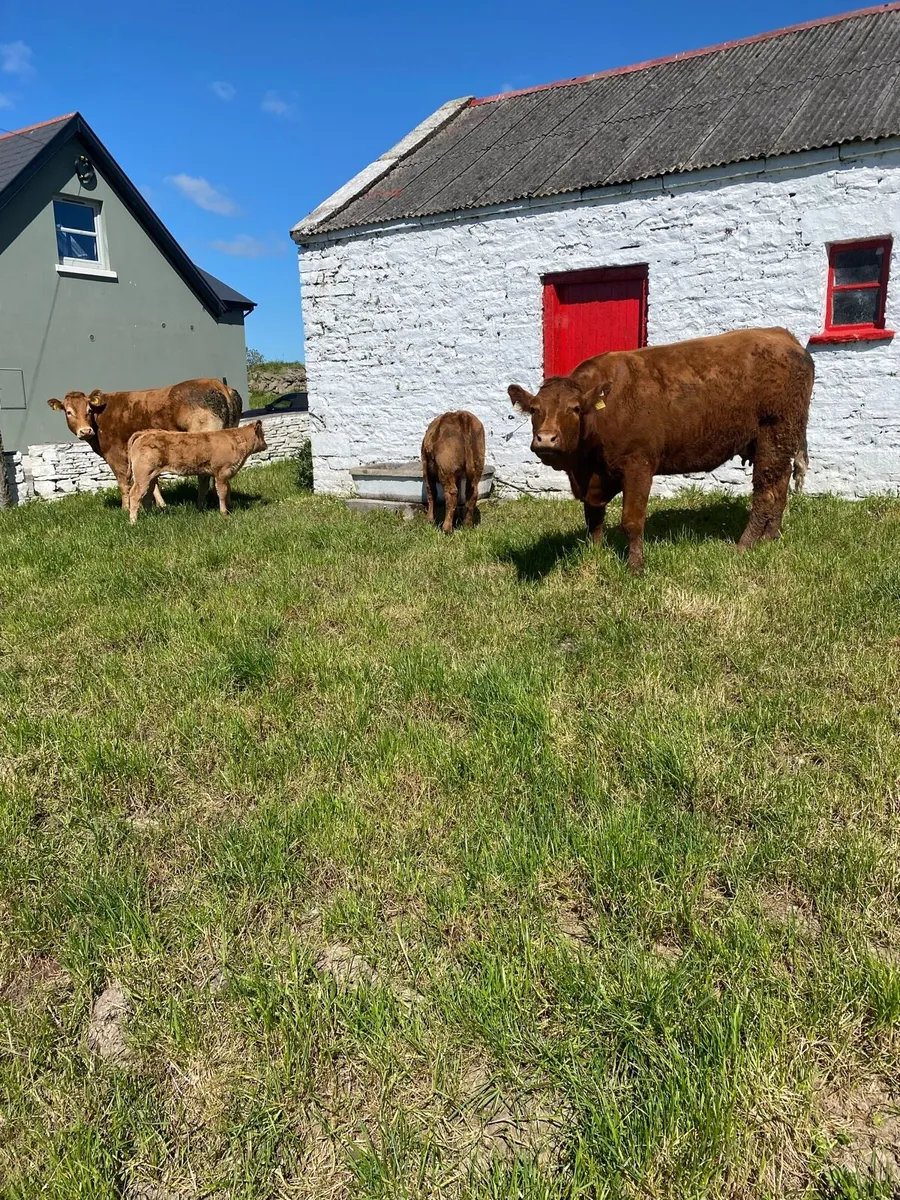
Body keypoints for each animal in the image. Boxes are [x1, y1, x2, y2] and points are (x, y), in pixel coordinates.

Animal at [47, 379, 242, 510]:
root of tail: (217, 383)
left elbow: (123, 483)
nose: (85, 431)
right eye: (69, 412)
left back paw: (200, 505)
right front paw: (159, 505)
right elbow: (152, 482)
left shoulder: (115, 455)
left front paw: (126, 508)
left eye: (88, 410)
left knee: (203, 476)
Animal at [126, 421, 267, 524]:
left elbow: (217, 491)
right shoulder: (221, 473)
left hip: (150, 477)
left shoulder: (214, 474)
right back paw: (133, 521)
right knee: (135, 495)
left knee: (147, 495)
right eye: (263, 434)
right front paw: (224, 514)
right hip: (142, 476)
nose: (266, 445)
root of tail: (144, 434)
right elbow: (222, 492)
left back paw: (150, 515)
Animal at [508, 328, 813, 574]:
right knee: (780, 486)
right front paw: (594, 554)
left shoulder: (638, 464)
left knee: (765, 493)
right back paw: (770, 537)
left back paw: (744, 545)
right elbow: (593, 519)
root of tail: (784, 337)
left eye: (574, 409)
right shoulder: (593, 477)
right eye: (534, 410)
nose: (546, 439)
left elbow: (632, 521)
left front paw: (635, 567)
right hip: (777, 443)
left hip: (774, 434)